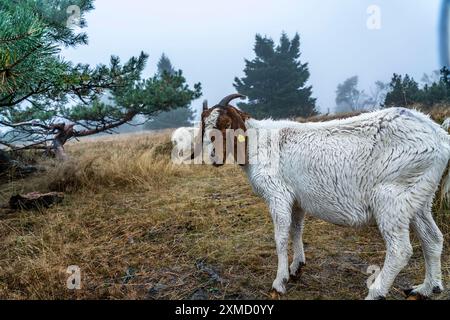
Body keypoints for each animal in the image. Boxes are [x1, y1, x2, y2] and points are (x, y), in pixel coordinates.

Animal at [200, 94, 450, 300]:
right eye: (204, 126)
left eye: (225, 124)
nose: (212, 157)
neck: (259, 142)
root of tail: (440, 136)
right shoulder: (297, 199)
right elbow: (296, 229)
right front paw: (297, 267)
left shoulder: (278, 195)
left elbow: (280, 237)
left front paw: (279, 282)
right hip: (419, 196)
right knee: (432, 238)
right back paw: (426, 288)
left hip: (391, 197)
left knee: (400, 250)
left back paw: (376, 292)